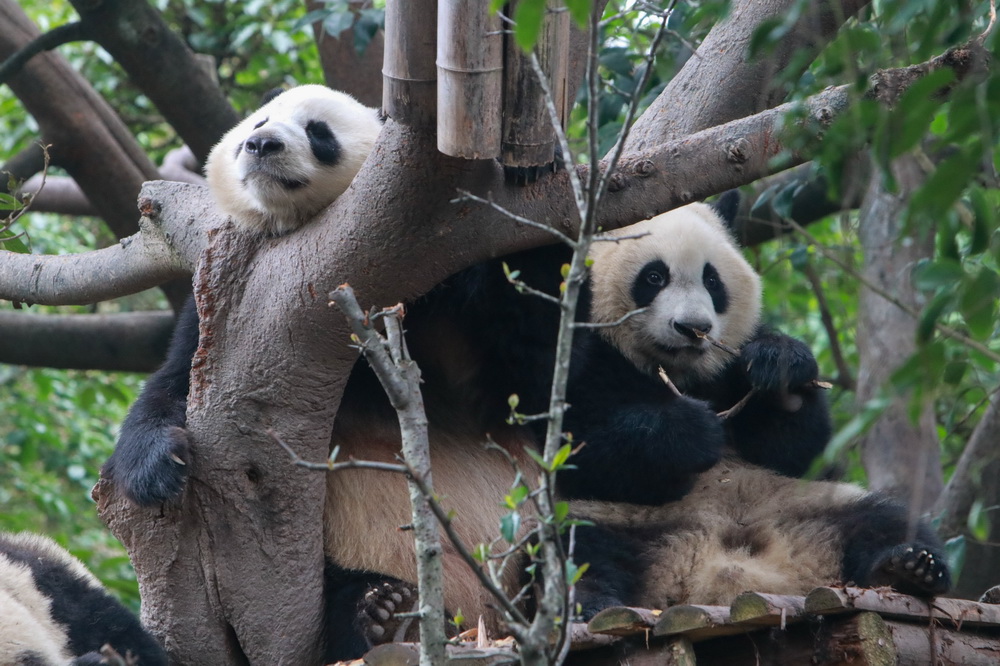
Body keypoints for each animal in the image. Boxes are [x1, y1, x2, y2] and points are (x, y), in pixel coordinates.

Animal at [103, 84, 828, 660]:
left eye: (318, 131)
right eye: (257, 120)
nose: (260, 144)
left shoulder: (455, 301)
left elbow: (536, 383)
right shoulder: (237, 313)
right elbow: (170, 388)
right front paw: (159, 467)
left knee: (573, 543)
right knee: (342, 588)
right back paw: (379, 612)